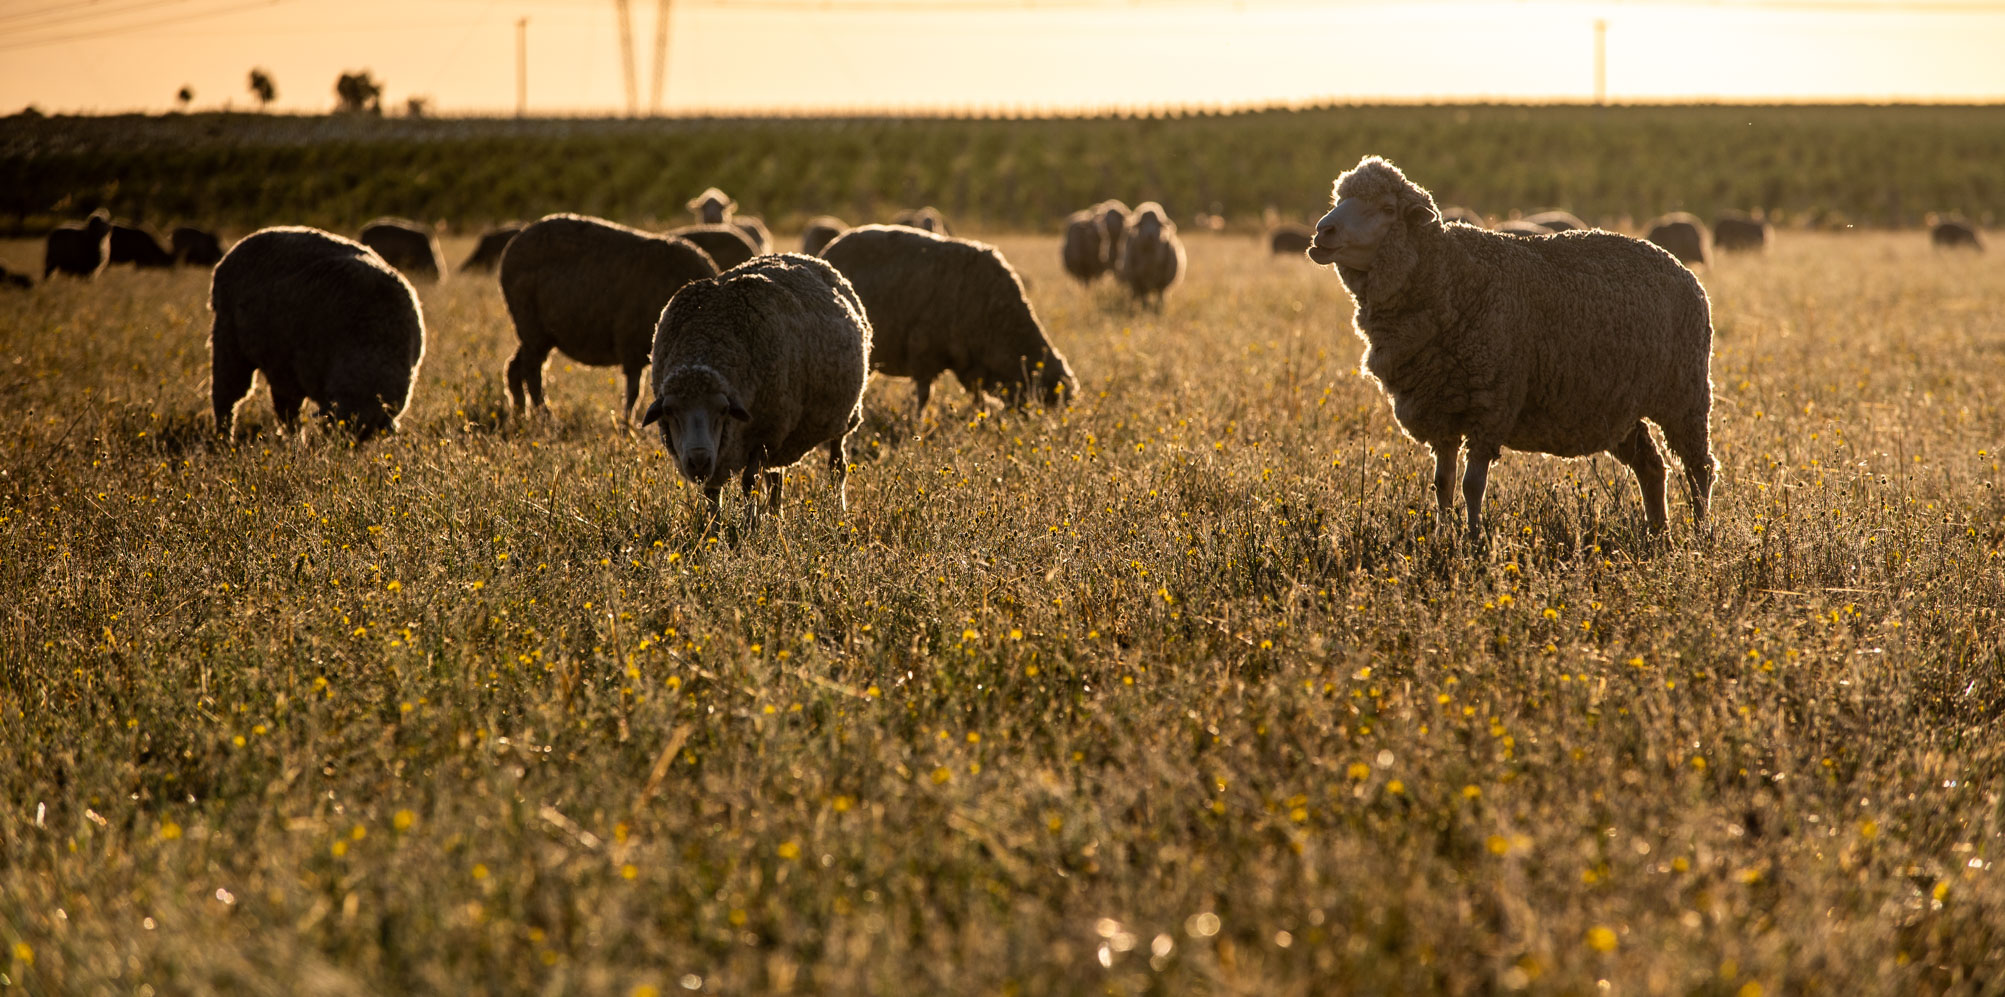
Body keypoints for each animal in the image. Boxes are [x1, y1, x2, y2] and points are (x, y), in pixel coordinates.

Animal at [501, 212, 721, 419]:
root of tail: (512, 247)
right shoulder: (631, 345)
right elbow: (633, 395)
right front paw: (626, 428)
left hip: (537, 334)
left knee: (514, 368)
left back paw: (519, 416)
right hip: (530, 325)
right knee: (532, 373)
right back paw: (545, 418)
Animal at [637, 250, 866, 521]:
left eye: (723, 410)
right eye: (669, 411)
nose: (698, 461)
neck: (706, 335)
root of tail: (805, 257)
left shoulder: (764, 433)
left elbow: (750, 481)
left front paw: (750, 525)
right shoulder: (727, 449)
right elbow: (712, 491)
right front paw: (715, 528)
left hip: (844, 417)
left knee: (837, 466)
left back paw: (837, 510)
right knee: (776, 476)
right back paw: (776, 517)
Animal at [822, 223, 1082, 413]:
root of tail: (831, 248)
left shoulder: (970, 366)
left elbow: (978, 400)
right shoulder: (924, 354)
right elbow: (924, 397)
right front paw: (916, 426)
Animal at [1307, 157, 1716, 537]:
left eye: (1387, 209)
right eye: (1339, 199)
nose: (1322, 231)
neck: (1452, 278)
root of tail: (1680, 267)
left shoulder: (1489, 406)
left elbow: (1472, 485)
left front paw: (1473, 538)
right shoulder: (1440, 410)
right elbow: (1442, 485)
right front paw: (1442, 536)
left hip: (1685, 394)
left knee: (1699, 468)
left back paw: (1699, 532)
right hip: (1617, 407)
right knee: (1652, 466)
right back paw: (1657, 532)